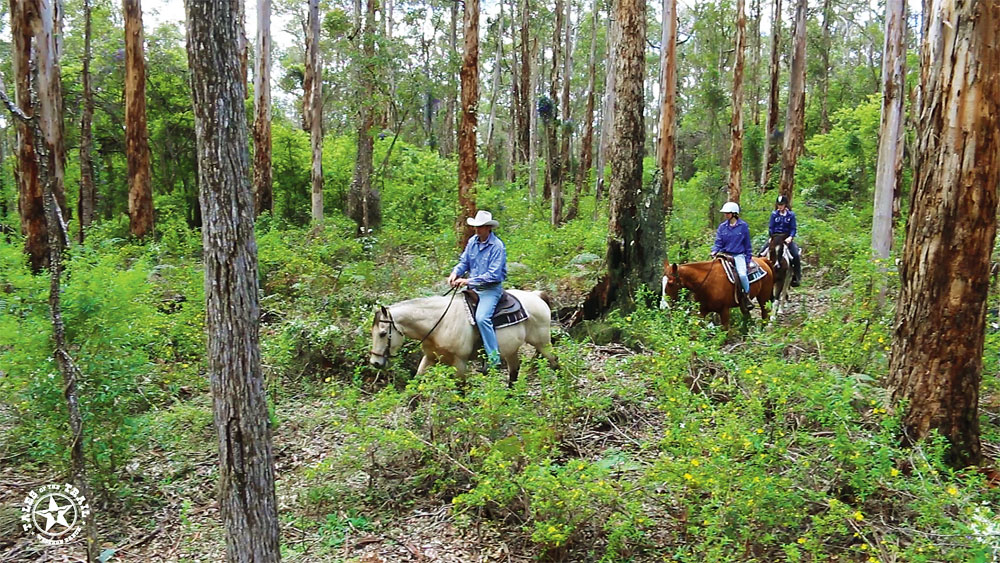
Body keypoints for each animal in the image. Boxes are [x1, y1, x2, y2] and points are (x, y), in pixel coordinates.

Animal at [370, 288, 560, 386]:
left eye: (382, 333)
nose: (375, 363)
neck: (439, 323)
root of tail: (537, 295)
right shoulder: (430, 358)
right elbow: (417, 380)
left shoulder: (460, 362)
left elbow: (461, 388)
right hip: (511, 349)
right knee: (514, 370)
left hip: (542, 342)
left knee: (554, 361)